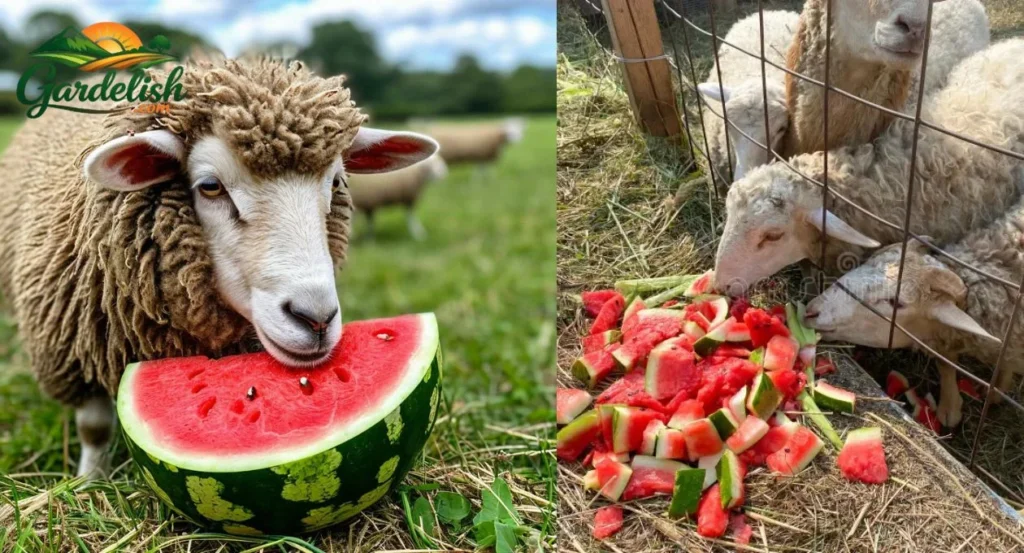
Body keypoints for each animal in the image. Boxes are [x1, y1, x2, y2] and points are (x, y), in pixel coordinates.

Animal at [0, 56, 438, 478]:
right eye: (210, 186)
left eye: (334, 183)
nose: (316, 319)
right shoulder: (72, 353)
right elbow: (94, 428)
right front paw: (90, 480)